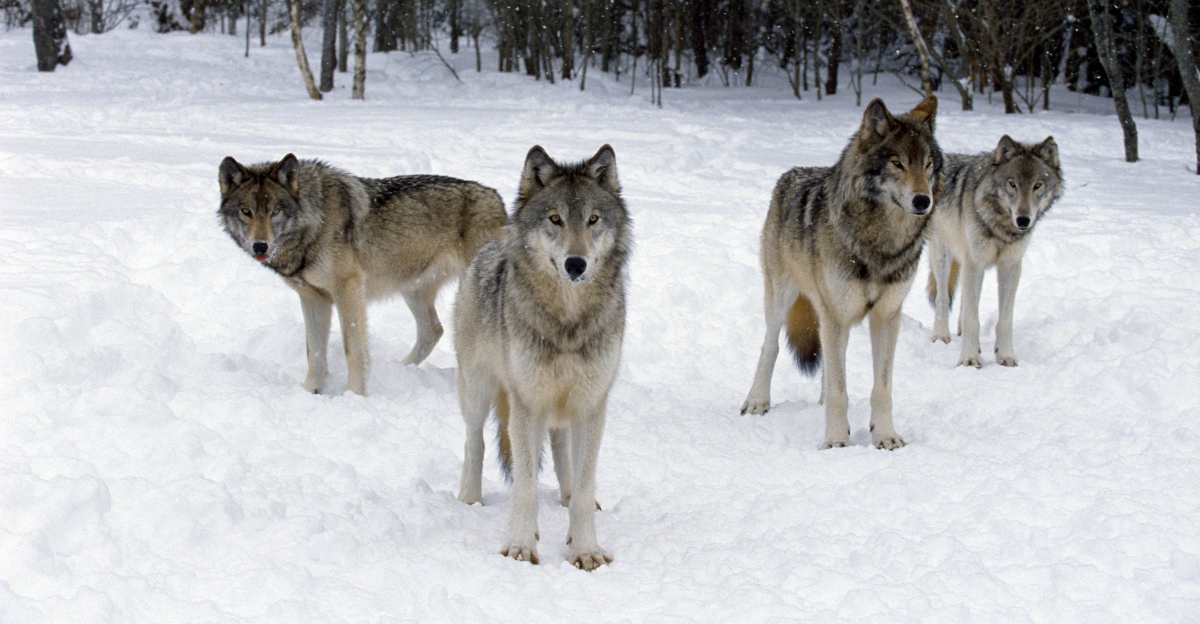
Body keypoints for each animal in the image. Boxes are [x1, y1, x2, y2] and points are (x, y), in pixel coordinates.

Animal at [218, 154, 507, 395]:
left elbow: (354, 351)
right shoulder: (313, 297)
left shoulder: (348, 290)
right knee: (433, 330)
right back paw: (402, 369)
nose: (260, 246)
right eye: (246, 212)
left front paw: (354, 395)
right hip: (412, 290)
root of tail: (497, 198)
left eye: (275, 211)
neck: (314, 223)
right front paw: (310, 391)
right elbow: (314, 353)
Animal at [454, 145, 631, 571]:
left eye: (593, 219)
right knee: (474, 442)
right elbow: (525, 487)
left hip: (562, 406)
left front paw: (585, 549)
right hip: (478, 390)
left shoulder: (591, 405)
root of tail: (490, 244)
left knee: (563, 451)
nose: (575, 264)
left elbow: (583, 486)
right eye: (555, 219)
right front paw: (521, 545)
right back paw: (469, 499)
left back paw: (565, 498)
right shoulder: (526, 404)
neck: (567, 321)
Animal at [740, 98, 942, 450]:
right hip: (783, 299)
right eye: (897, 163)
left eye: (928, 164)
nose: (923, 201)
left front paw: (885, 436)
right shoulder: (836, 313)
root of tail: (791, 174)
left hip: (833, 317)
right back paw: (757, 401)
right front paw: (835, 441)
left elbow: (881, 388)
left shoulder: (887, 315)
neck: (880, 244)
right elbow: (839, 390)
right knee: (771, 346)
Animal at [926, 135, 1063, 367]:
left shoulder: (1010, 266)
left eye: (1037, 185)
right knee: (942, 298)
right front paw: (969, 359)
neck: (1002, 227)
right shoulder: (975, 263)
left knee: (964, 301)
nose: (1023, 220)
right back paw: (941, 336)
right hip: (943, 257)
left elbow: (1005, 319)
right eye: (1012, 184)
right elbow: (973, 319)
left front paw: (1005, 356)